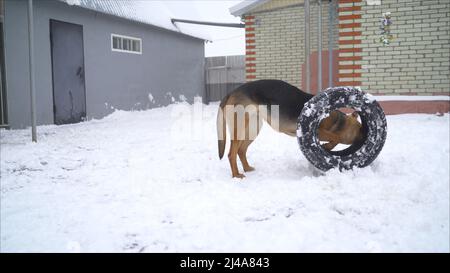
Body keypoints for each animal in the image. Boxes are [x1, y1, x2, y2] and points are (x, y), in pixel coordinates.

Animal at [216, 78, 364, 178]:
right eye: (360, 129)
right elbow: (336, 137)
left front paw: (327, 146)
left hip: (253, 129)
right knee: (231, 153)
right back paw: (236, 175)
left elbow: (335, 137)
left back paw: (247, 168)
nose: (367, 134)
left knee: (241, 150)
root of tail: (232, 92)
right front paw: (327, 146)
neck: (338, 121)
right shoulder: (316, 131)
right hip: (240, 128)